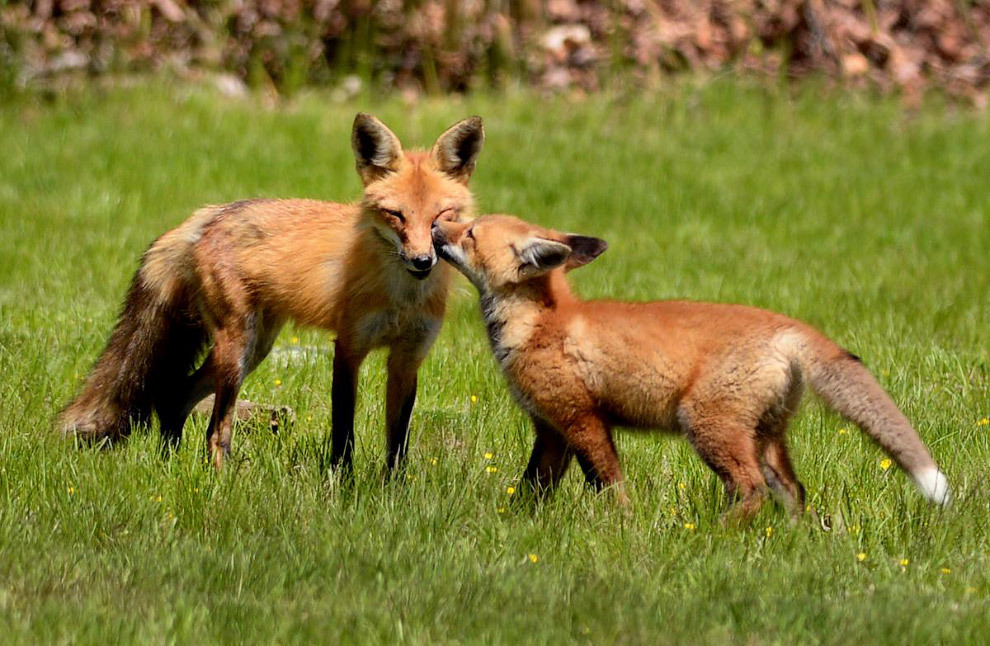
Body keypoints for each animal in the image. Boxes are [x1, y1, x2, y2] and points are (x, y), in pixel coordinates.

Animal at [58, 114, 484, 474]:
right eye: (396, 216)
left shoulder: (408, 358)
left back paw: (171, 464)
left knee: (174, 395)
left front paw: (391, 491)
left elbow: (397, 442)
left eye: (441, 217)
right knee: (216, 428)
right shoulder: (348, 348)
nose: (422, 261)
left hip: (255, 347)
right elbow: (343, 430)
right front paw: (343, 485)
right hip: (236, 350)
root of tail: (209, 214)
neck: (402, 295)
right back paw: (219, 480)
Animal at [434, 215, 952, 520]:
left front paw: (622, 527)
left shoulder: (581, 419)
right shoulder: (550, 429)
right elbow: (532, 489)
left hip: (707, 426)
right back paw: (790, 538)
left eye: (470, 233)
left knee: (752, 490)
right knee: (794, 490)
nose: (436, 227)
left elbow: (609, 484)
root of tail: (788, 326)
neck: (543, 323)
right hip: (764, 436)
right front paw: (516, 523)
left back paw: (716, 532)